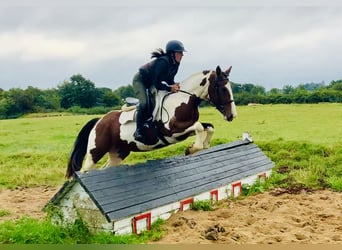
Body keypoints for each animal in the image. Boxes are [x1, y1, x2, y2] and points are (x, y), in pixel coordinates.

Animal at [67, 65, 238, 178]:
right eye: (223, 89)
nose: (232, 115)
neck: (183, 99)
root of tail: (99, 121)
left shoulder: (186, 129)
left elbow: (208, 127)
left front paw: (204, 145)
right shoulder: (172, 131)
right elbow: (199, 127)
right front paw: (193, 149)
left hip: (118, 153)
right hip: (95, 152)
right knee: (84, 170)